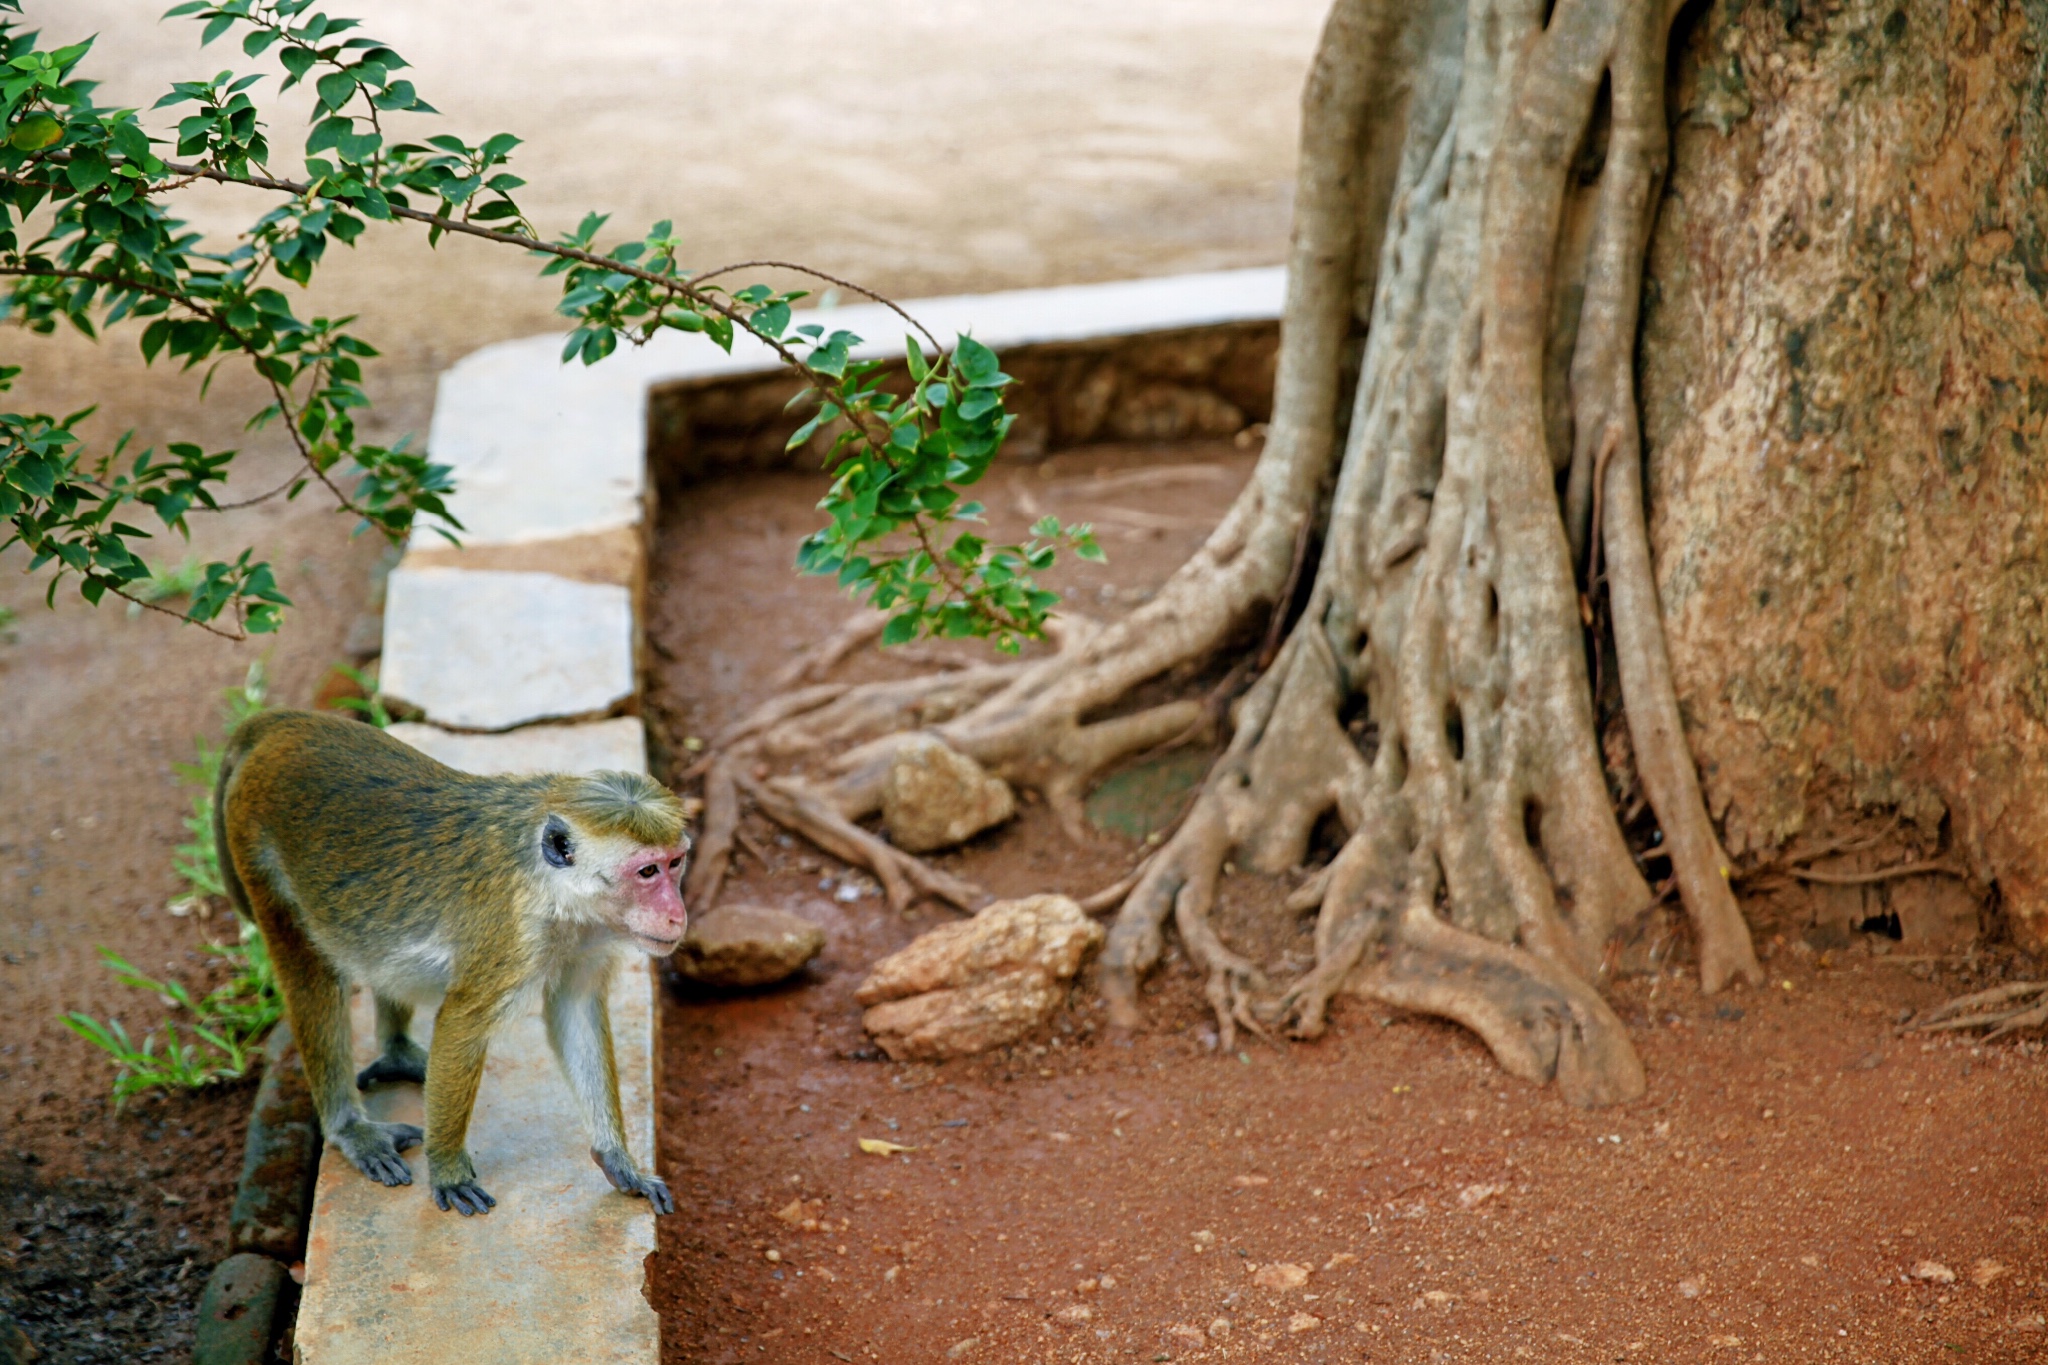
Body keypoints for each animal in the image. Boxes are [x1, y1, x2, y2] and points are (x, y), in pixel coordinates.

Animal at [219, 712, 688, 1211]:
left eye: (675, 863)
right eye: (647, 872)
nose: (677, 915)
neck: (554, 890)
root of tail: (283, 724)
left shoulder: (588, 939)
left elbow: (575, 1010)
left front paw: (618, 1162)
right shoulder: (511, 936)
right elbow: (462, 1022)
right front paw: (446, 1169)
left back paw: (397, 1053)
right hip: (253, 839)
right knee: (309, 969)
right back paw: (351, 1129)